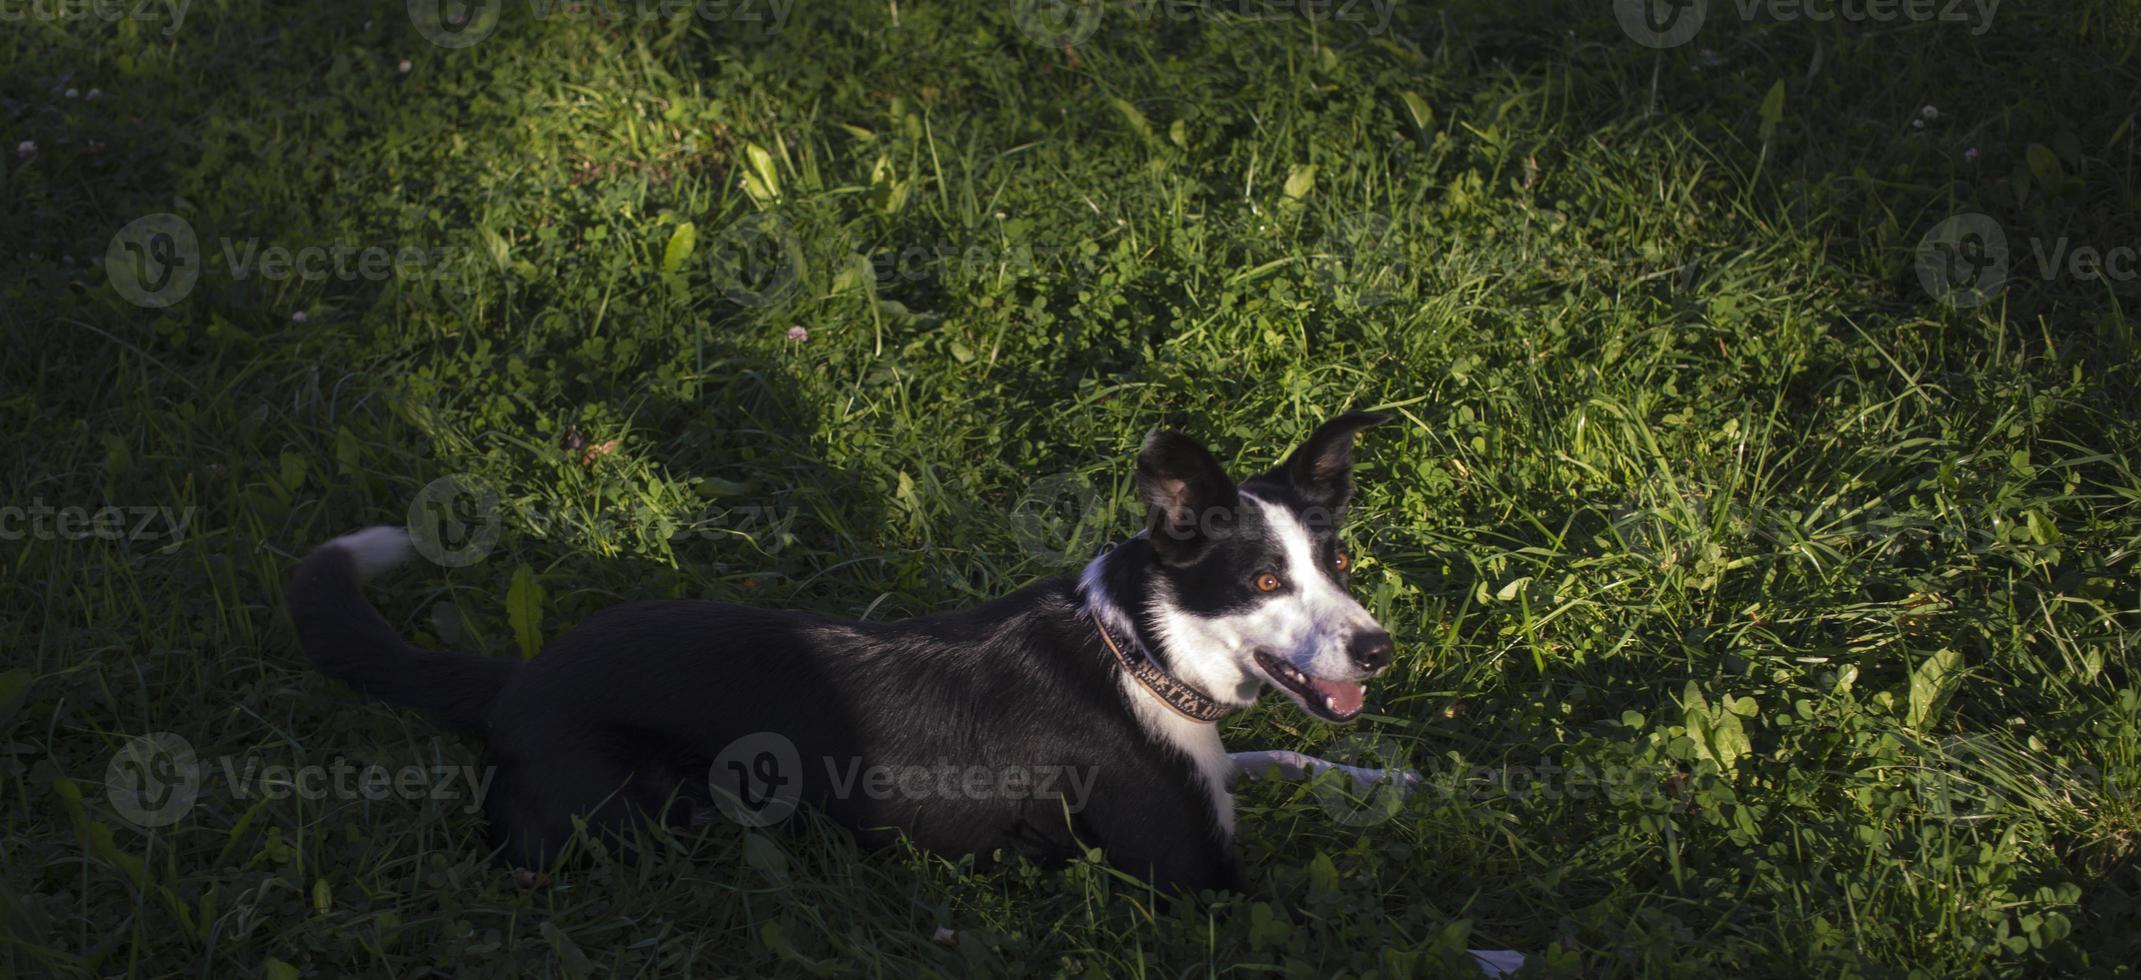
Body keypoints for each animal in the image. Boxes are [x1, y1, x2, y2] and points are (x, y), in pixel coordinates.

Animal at [289, 408, 1421, 890]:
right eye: (1264, 581)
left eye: (1336, 558)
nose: (1376, 648)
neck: (1140, 648)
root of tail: (521, 676)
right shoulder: (1195, 878)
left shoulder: (1220, 768)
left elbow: (1287, 755)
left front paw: (1391, 779)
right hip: (630, 817)